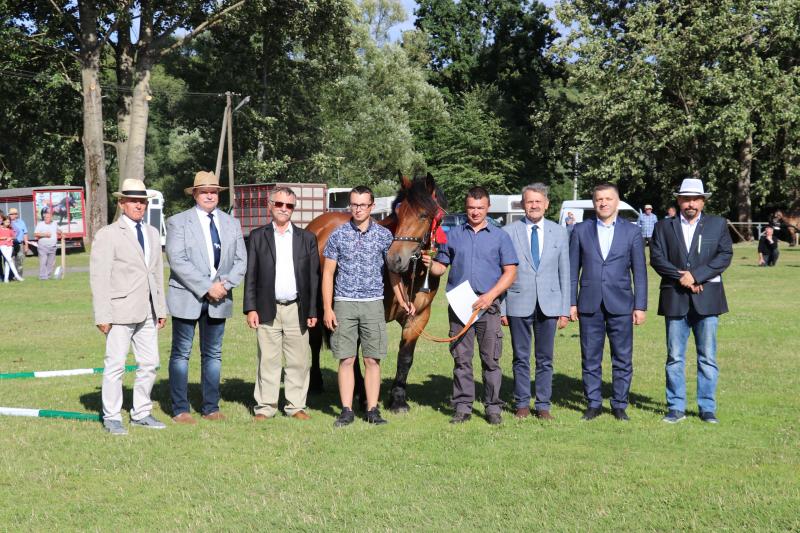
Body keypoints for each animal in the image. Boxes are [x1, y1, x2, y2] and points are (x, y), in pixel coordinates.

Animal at [306, 173, 447, 413]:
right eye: (399, 212)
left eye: (423, 215)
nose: (394, 259)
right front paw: (367, 397)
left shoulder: (418, 317)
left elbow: (405, 358)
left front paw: (398, 400)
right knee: (316, 343)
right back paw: (318, 383)